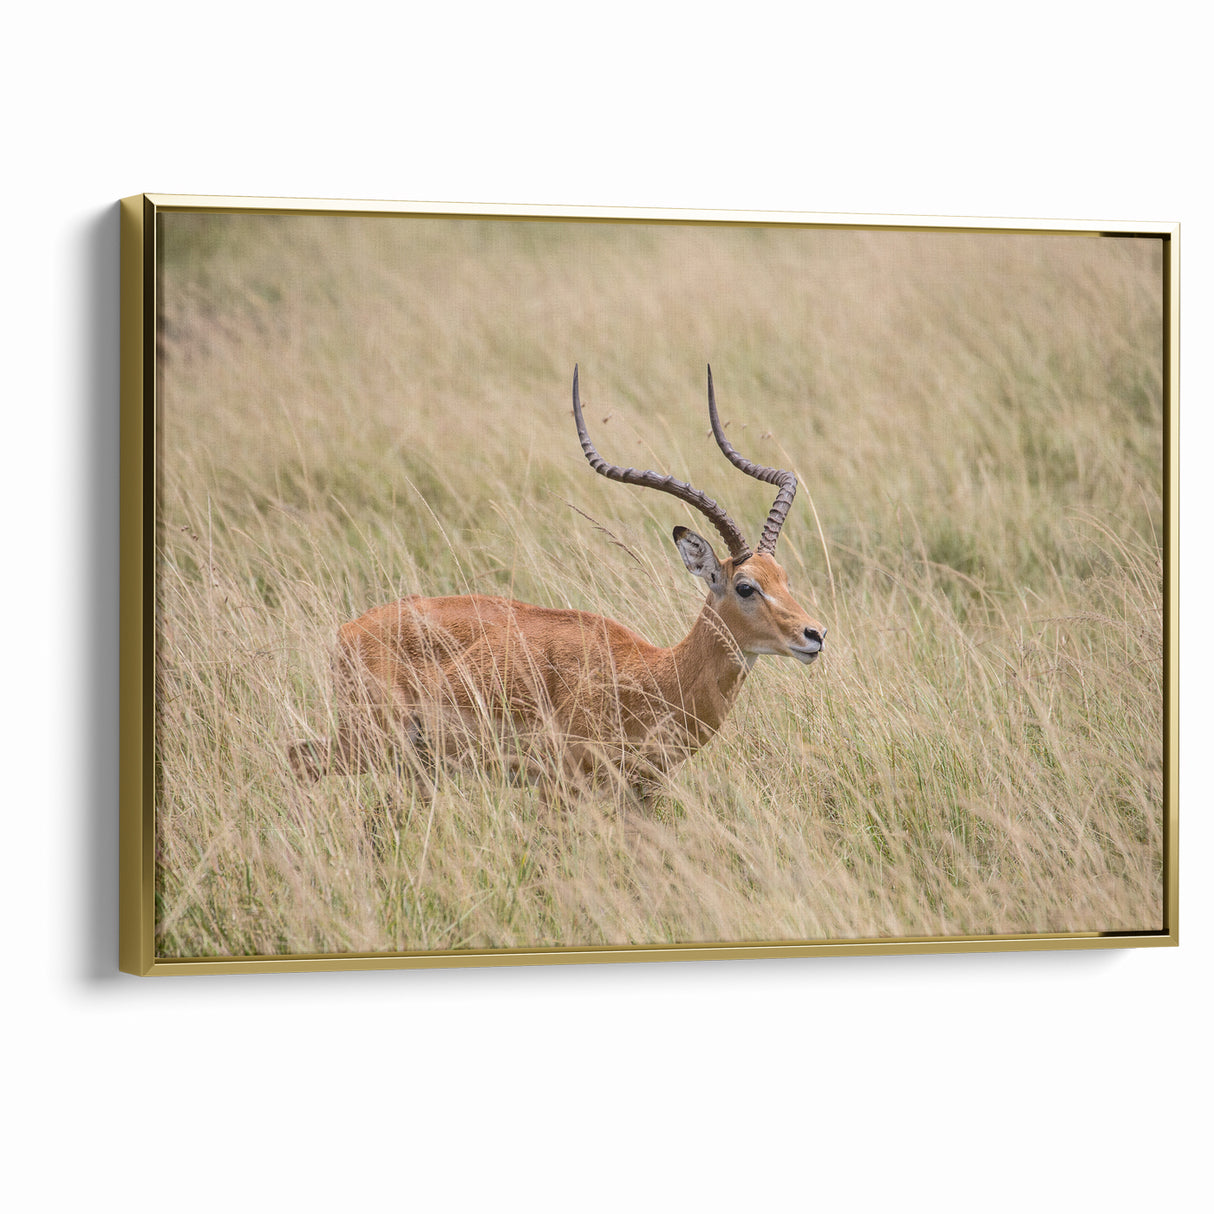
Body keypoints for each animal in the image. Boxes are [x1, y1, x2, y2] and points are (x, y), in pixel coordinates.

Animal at [289, 366, 826, 802]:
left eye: (783, 577)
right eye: (745, 587)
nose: (814, 634)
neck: (650, 676)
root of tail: (349, 630)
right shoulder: (562, 787)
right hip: (371, 742)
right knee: (298, 760)